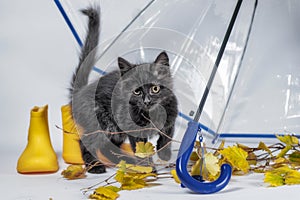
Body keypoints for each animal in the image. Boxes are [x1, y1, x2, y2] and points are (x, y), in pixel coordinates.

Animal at [70, 7, 178, 173]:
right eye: (137, 91)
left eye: (155, 88)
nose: (147, 101)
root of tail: (80, 93)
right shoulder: (133, 129)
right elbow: (141, 150)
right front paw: (148, 169)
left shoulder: (171, 114)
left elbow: (168, 135)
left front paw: (164, 154)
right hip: (101, 123)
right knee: (86, 142)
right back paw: (95, 166)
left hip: (116, 130)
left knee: (108, 147)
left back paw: (125, 160)